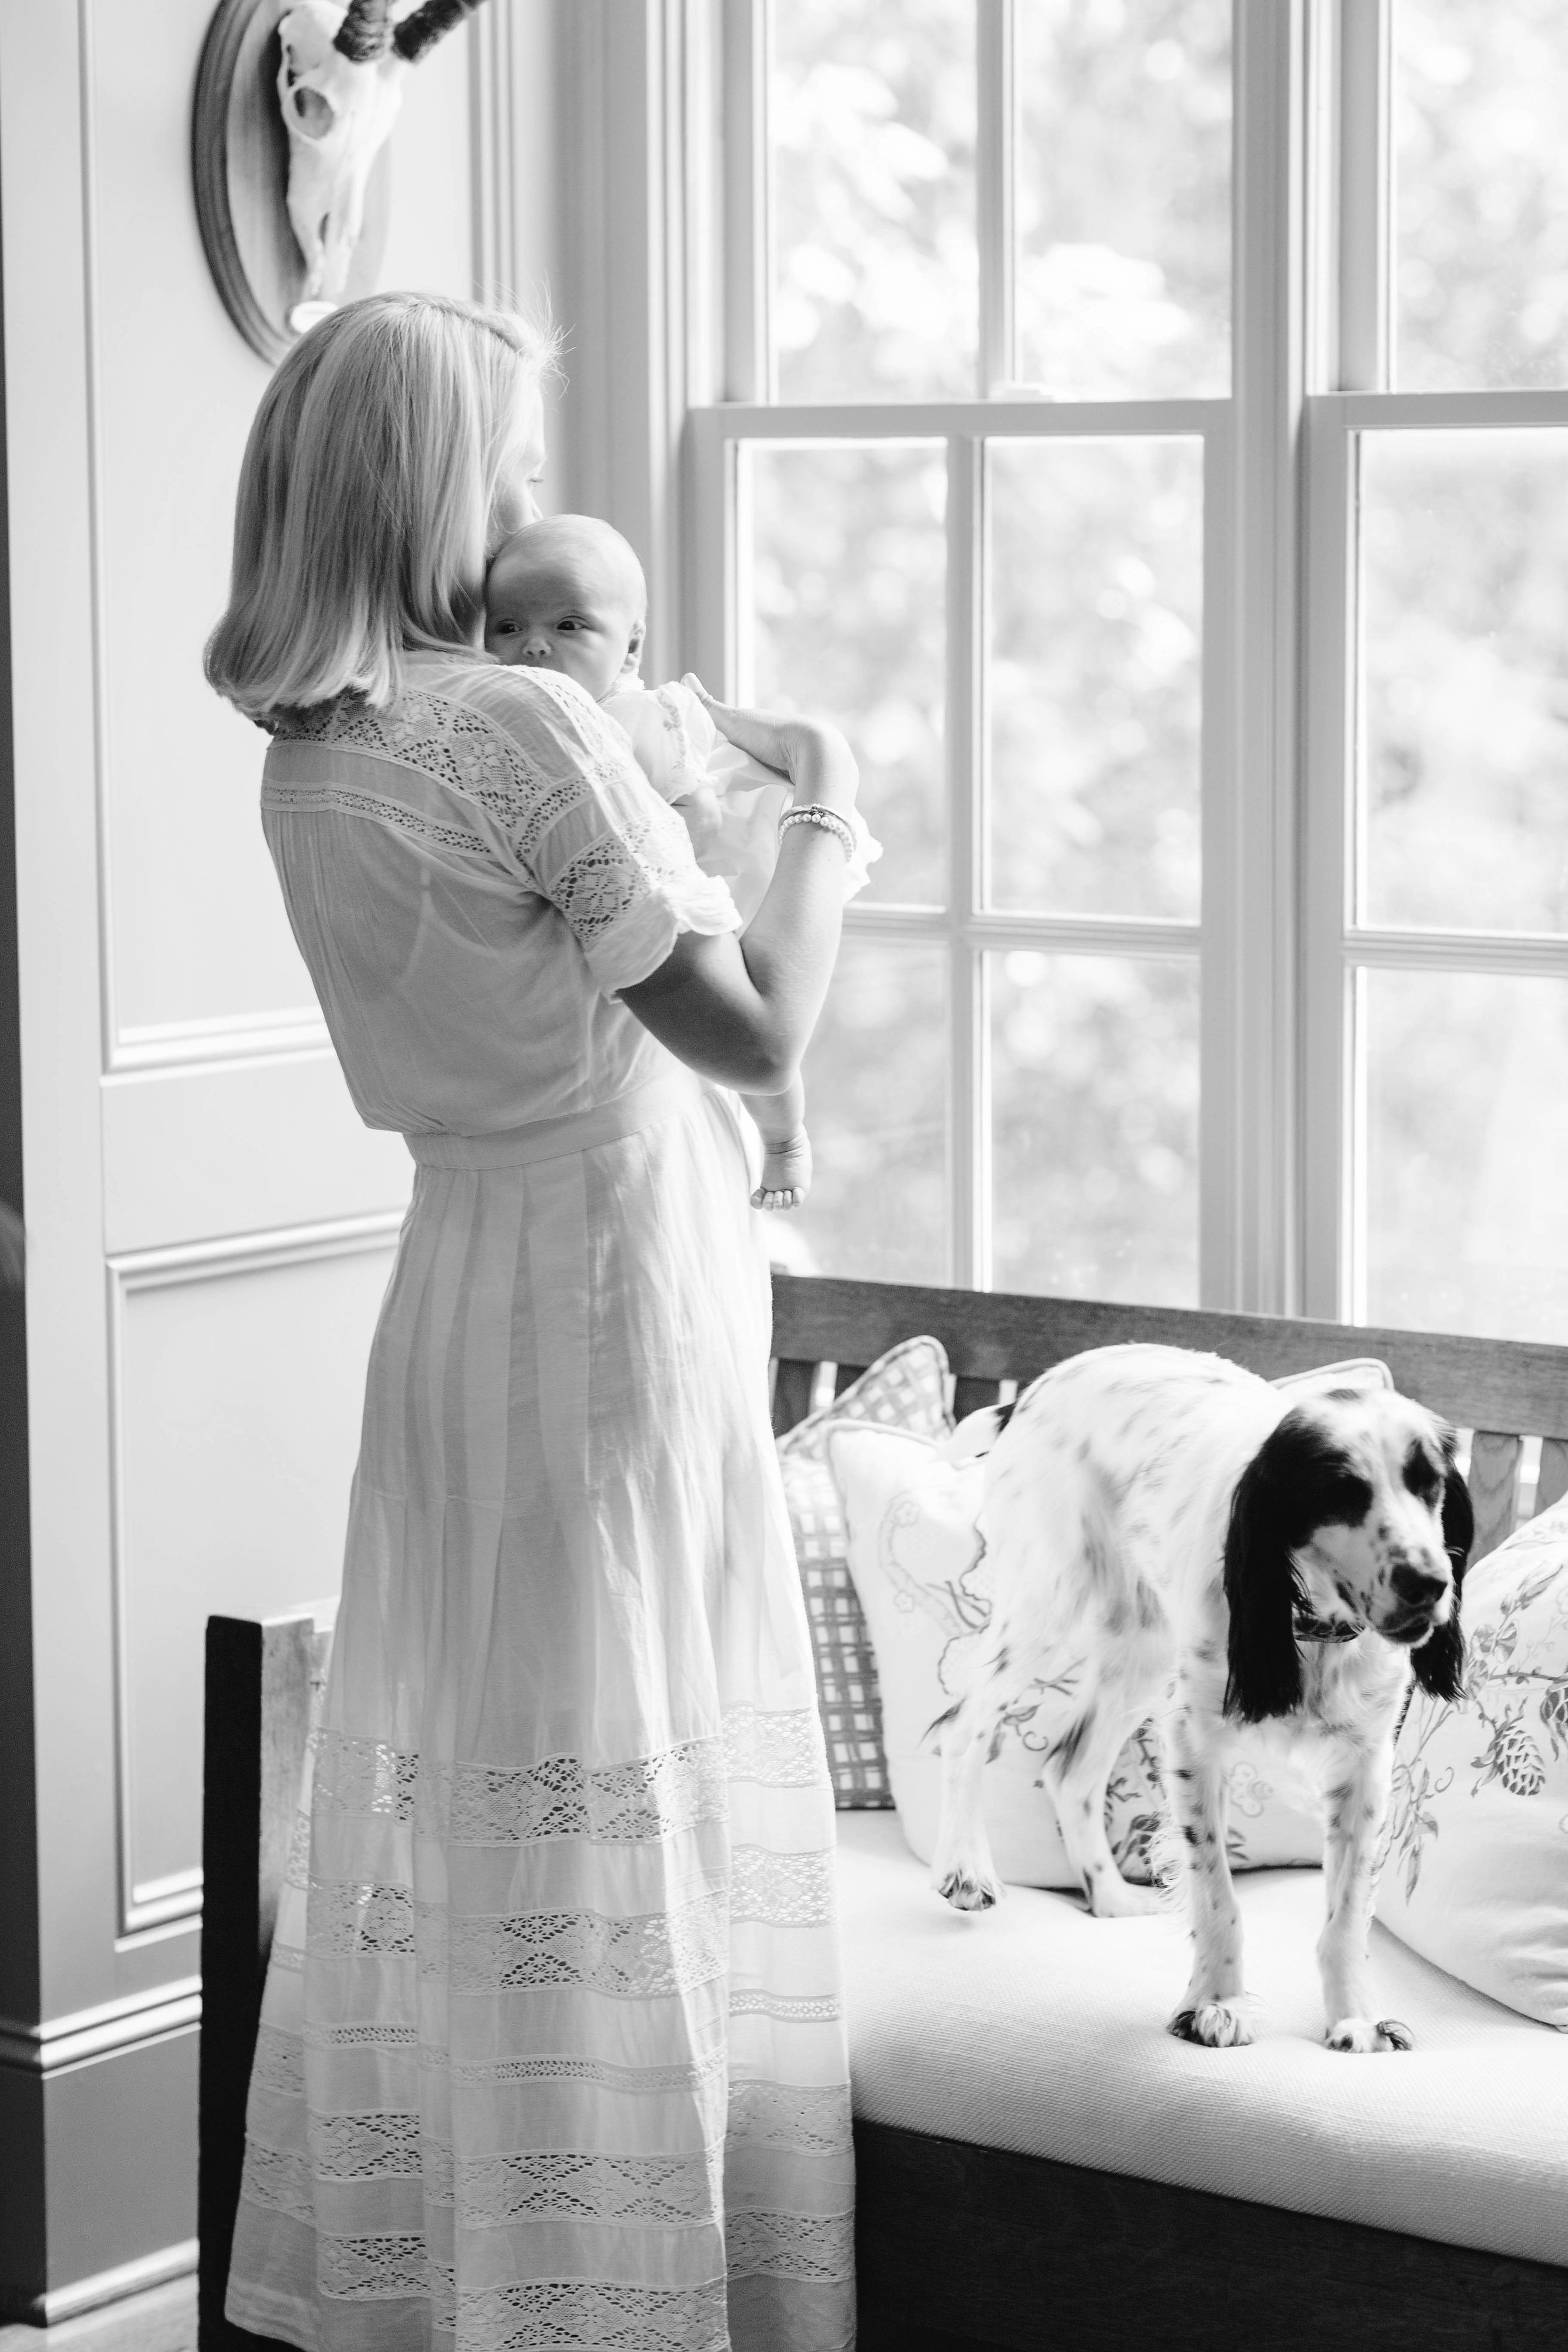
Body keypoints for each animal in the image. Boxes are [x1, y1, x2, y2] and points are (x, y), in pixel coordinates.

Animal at [928, 1344, 1472, 2052]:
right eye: (1340, 1491)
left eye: (1429, 1484)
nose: (1429, 1583)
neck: (1311, 1628)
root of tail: (1036, 1388)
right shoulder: (1195, 1741)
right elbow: (1218, 1894)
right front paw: (1215, 2004)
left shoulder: (1365, 1764)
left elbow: (1347, 1913)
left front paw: (1354, 2017)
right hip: (1050, 1605)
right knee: (965, 1723)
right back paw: (967, 1870)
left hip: (1144, 1647)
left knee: (1071, 1770)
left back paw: (1110, 1897)